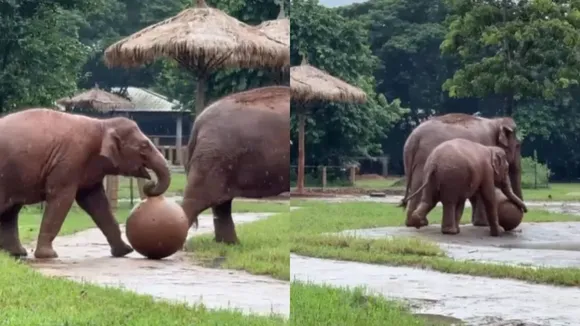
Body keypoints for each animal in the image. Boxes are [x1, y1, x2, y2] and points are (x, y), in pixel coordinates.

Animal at [0, 108, 170, 258]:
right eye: (144, 146)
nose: (150, 184)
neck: (103, 124)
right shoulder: (69, 161)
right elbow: (62, 199)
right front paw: (48, 256)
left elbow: (96, 202)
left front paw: (125, 251)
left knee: (11, 211)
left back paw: (17, 254)